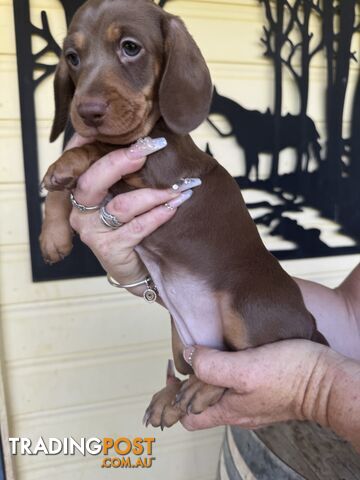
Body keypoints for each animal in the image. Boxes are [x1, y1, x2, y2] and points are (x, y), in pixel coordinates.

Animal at [39, 0, 326, 430]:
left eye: (130, 47)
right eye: (72, 57)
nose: (85, 112)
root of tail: (310, 324)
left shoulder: (158, 177)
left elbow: (101, 151)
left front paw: (66, 164)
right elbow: (67, 188)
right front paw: (53, 234)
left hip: (245, 308)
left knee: (236, 364)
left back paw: (201, 390)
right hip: (179, 341)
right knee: (193, 365)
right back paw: (170, 399)